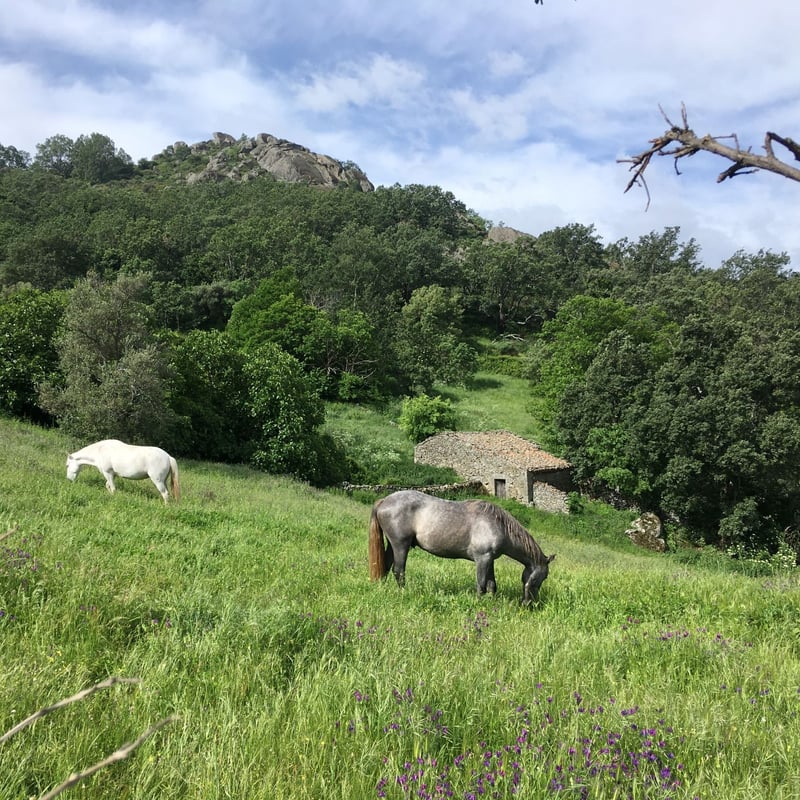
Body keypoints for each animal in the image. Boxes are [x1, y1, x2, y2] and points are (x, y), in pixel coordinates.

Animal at [369, 489, 554, 605]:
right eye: (543, 577)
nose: (529, 603)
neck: (497, 524)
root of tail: (384, 501)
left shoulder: (489, 560)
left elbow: (492, 585)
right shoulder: (482, 559)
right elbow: (481, 584)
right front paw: (480, 604)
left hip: (392, 546)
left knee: (385, 566)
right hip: (400, 545)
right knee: (399, 571)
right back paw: (404, 593)